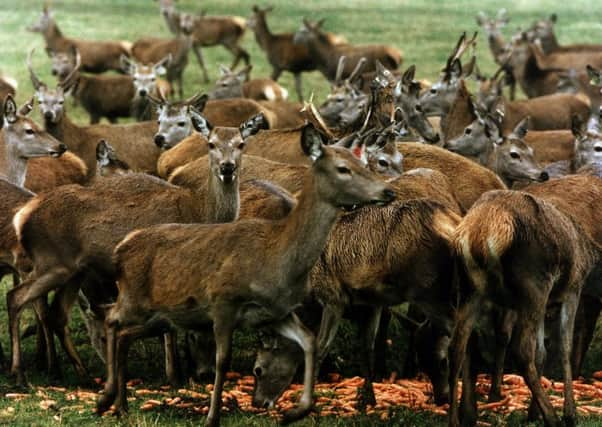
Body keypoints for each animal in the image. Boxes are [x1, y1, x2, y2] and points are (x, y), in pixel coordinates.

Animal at [94, 123, 394, 424]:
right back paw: (106, 397)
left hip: (164, 315)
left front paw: (298, 410)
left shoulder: (277, 312)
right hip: (136, 300)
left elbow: (310, 342)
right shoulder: (223, 304)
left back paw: (121, 405)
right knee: (110, 319)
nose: (388, 191)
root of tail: (122, 247)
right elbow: (223, 360)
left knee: (124, 334)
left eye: (364, 164)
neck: (278, 260)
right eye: (343, 168)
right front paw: (212, 416)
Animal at [448, 175, 600, 427]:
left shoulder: (549, 303)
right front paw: (570, 413)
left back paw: (456, 420)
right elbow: (564, 347)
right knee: (521, 349)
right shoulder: (572, 288)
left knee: (457, 347)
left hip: (469, 287)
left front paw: (533, 413)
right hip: (533, 282)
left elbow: (543, 352)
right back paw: (553, 417)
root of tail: (482, 230)